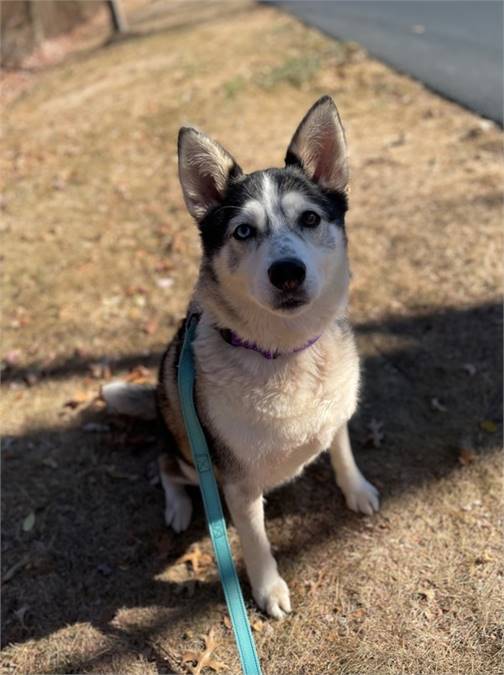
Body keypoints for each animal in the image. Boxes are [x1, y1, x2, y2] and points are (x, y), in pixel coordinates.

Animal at [102, 97, 378, 620]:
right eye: (243, 231)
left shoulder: (335, 415)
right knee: (164, 466)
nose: (287, 272)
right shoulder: (236, 484)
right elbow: (255, 542)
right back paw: (178, 508)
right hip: (188, 456)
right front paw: (268, 590)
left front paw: (356, 489)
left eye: (310, 219)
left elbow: (341, 449)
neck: (287, 352)